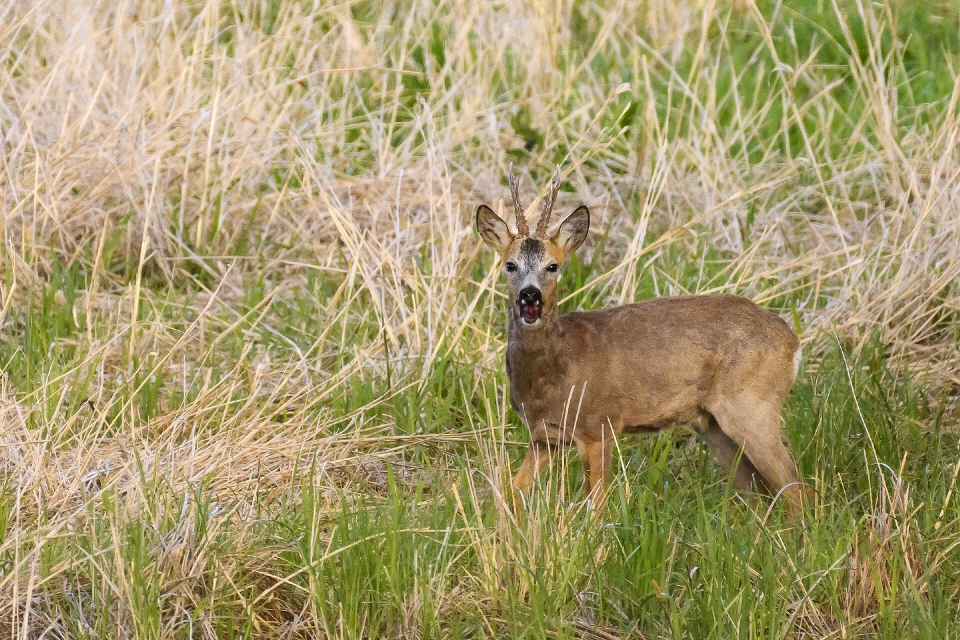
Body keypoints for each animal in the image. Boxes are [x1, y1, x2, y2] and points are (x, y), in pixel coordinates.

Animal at [474, 170, 808, 520]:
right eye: (510, 265)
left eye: (553, 266)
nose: (530, 295)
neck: (556, 370)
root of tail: (792, 341)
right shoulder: (545, 437)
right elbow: (512, 490)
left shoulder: (598, 425)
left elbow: (597, 505)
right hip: (714, 424)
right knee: (758, 491)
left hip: (753, 404)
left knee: (795, 487)